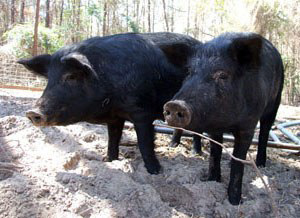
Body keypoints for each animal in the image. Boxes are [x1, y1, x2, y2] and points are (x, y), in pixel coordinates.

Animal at [17, 32, 200, 175]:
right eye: (49, 79)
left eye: (71, 76)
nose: (32, 112)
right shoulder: (114, 117)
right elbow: (113, 139)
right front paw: (108, 160)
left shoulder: (141, 112)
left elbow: (144, 142)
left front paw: (155, 171)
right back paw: (172, 146)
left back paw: (195, 152)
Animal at [164, 32, 284, 204]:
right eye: (189, 72)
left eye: (222, 75)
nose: (175, 105)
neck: (226, 122)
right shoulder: (214, 129)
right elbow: (215, 153)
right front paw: (212, 181)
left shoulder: (248, 125)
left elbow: (238, 159)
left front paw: (234, 201)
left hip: (276, 102)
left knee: (265, 132)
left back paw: (261, 164)